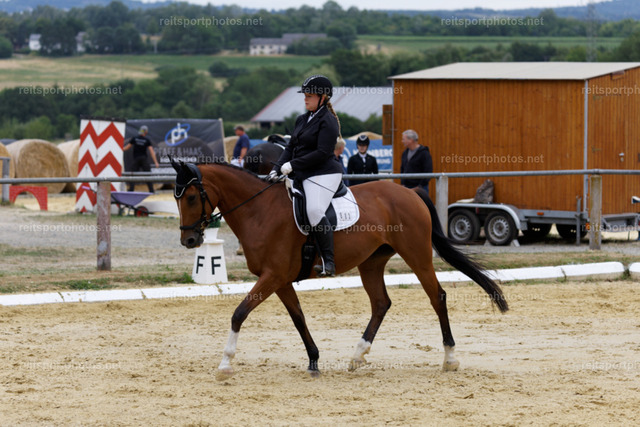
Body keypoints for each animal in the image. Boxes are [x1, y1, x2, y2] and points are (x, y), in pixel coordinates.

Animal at [171, 160, 508, 380]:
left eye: (192, 197)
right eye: (177, 199)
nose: (189, 240)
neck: (259, 211)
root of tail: (410, 192)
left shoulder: (273, 276)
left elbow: (239, 313)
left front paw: (225, 364)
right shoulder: (280, 281)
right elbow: (298, 318)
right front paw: (314, 361)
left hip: (418, 255)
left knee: (437, 297)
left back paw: (450, 358)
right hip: (371, 262)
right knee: (381, 303)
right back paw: (357, 356)